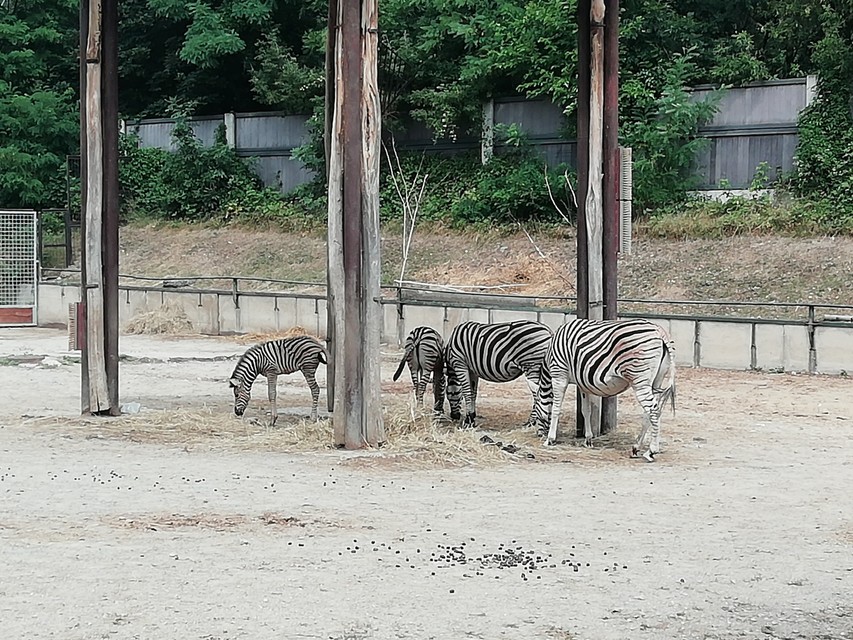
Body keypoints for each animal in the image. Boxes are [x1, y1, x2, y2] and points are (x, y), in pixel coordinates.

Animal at [530, 318, 676, 461]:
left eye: (535, 412)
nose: (538, 434)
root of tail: (659, 331)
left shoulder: (559, 375)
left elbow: (556, 409)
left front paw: (550, 439)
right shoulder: (582, 383)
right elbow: (586, 411)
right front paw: (588, 440)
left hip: (639, 380)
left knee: (653, 410)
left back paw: (652, 451)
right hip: (656, 380)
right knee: (650, 412)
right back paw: (636, 448)